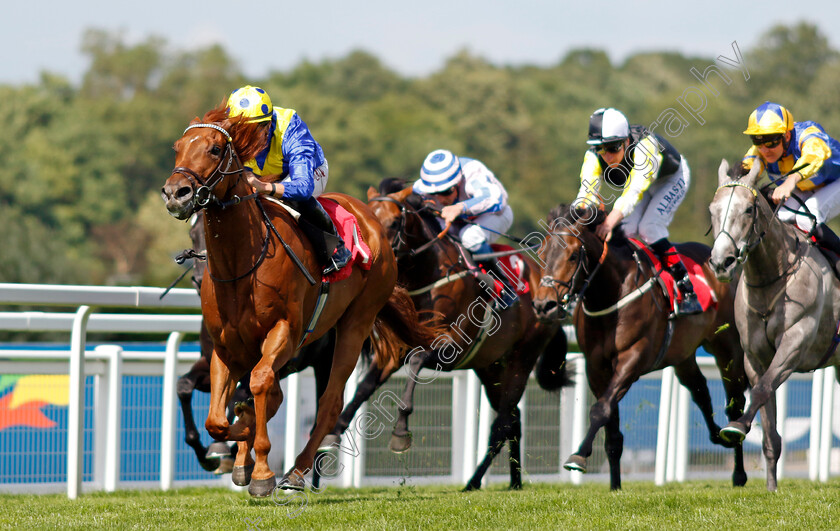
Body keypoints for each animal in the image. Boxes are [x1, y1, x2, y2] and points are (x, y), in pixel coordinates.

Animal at [160, 107, 442, 498]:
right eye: (178, 147)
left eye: (215, 149)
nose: (176, 192)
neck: (242, 265)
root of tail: (372, 221)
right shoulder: (225, 348)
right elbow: (218, 414)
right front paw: (233, 452)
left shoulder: (285, 333)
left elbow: (257, 388)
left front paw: (260, 469)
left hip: (353, 326)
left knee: (330, 404)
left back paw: (297, 472)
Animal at [322, 182, 572, 490]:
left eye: (393, 222)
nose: (378, 256)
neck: (428, 277)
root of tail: (547, 292)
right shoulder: (395, 352)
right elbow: (363, 388)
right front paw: (333, 432)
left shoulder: (448, 349)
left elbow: (416, 363)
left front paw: (400, 433)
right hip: (490, 366)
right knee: (513, 419)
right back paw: (513, 481)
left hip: (522, 358)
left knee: (502, 423)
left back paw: (474, 482)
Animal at [532, 204, 748, 490]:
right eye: (541, 253)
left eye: (572, 255)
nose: (543, 306)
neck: (611, 294)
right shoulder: (596, 367)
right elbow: (611, 429)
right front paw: (615, 486)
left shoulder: (632, 359)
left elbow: (600, 410)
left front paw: (578, 456)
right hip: (683, 355)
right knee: (700, 390)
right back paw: (717, 435)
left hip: (726, 346)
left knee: (735, 402)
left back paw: (738, 466)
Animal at [708, 160, 840, 492]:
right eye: (712, 210)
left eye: (748, 210)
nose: (721, 263)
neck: (773, 278)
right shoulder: (754, 357)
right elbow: (769, 429)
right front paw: (771, 488)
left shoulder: (795, 343)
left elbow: (763, 389)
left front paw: (737, 425)